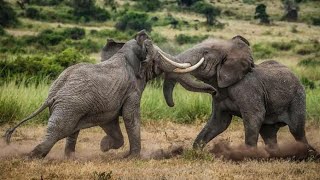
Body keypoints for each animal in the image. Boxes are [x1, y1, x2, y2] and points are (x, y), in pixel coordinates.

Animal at [3, 30, 215, 158]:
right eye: (157, 56)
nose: (213, 91)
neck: (126, 53)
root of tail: (51, 95)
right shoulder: (131, 89)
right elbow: (130, 116)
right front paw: (132, 158)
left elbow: (110, 121)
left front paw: (104, 147)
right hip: (69, 106)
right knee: (59, 130)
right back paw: (33, 156)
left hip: (71, 107)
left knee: (72, 130)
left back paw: (70, 158)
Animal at [159, 35, 316, 154]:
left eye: (206, 52)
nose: (212, 90)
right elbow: (219, 123)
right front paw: (195, 153)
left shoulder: (249, 90)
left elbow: (253, 118)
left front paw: (248, 156)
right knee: (268, 133)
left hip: (298, 99)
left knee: (297, 130)